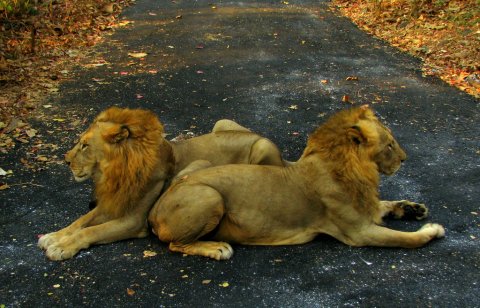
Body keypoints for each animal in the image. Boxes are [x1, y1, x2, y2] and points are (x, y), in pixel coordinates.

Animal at [38, 106, 284, 260]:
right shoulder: (113, 204)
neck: (115, 172)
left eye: (85, 146)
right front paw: (53, 237)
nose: (65, 160)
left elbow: (90, 231)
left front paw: (61, 247)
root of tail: (257, 134)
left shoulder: (134, 220)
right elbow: (81, 221)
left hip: (261, 146)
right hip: (221, 123)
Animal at [148, 106, 444, 260]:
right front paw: (432, 230)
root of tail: (153, 210)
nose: (405, 158)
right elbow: (405, 240)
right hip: (211, 196)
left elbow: (384, 204)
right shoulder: (358, 232)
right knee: (175, 244)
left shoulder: (365, 210)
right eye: (390, 145)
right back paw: (217, 247)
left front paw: (413, 208)